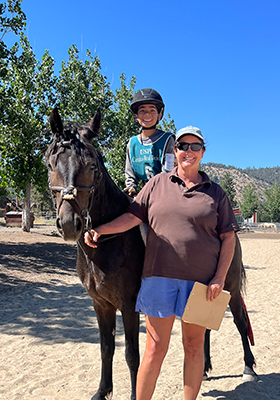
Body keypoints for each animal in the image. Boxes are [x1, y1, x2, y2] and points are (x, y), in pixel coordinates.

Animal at [45, 108, 256, 398]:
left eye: (92, 166)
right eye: (50, 164)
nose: (69, 224)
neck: (105, 245)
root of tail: (231, 229)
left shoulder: (129, 304)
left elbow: (132, 355)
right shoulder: (101, 304)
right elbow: (106, 349)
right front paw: (102, 391)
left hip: (229, 288)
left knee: (239, 321)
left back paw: (248, 368)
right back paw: (203, 368)